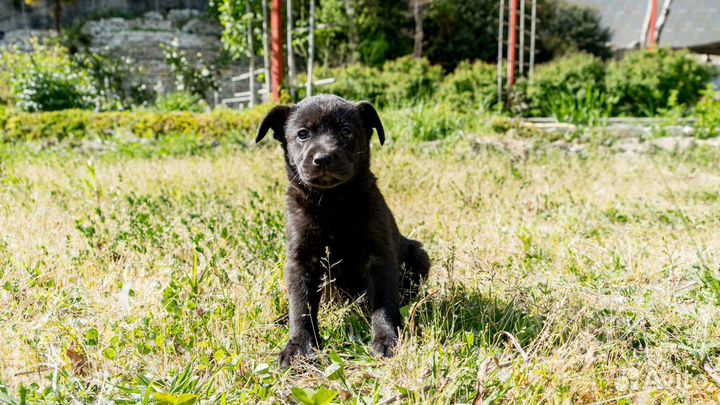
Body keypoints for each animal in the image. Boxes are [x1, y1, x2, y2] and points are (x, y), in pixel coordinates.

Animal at [258, 94, 430, 366]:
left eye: (346, 131)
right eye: (302, 134)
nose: (323, 158)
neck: (332, 203)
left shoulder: (379, 256)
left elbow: (383, 303)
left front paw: (387, 340)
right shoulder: (301, 260)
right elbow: (301, 306)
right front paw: (298, 346)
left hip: (419, 254)